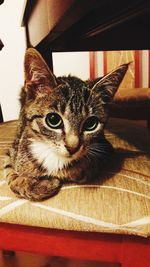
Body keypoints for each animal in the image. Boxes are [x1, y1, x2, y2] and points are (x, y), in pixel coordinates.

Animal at [4, 48, 129, 201]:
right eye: (53, 120)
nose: (73, 147)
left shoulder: (105, 147)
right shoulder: (13, 150)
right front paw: (37, 185)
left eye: (91, 124)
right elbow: (11, 176)